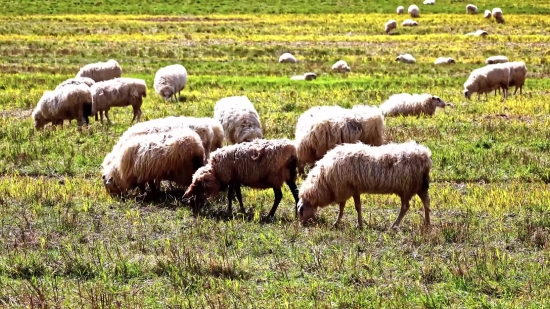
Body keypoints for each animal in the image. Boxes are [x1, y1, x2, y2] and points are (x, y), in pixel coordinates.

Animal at [298, 140, 436, 229]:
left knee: (405, 207)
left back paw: (395, 225)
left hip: (407, 187)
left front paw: (338, 223)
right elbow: (356, 206)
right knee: (426, 202)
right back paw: (427, 222)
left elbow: (344, 207)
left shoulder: (343, 188)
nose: (301, 225)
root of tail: (425, 156)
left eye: (301, 211)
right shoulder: (353, 189)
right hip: (420, 186)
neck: (323, 180)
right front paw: (358, 224)